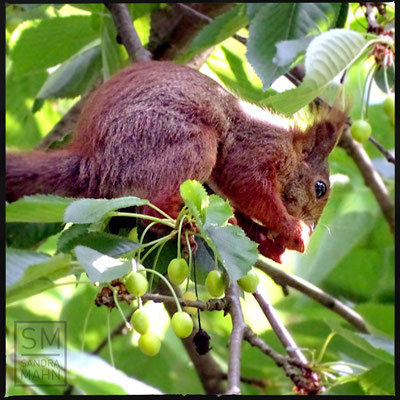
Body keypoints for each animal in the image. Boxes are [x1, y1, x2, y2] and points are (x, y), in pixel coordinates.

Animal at [5, 60, 346, 262]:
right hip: (184, 142)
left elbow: (239, 204)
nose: (313, 228)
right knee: (148, 211)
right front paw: (292, 229)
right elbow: (248, 185)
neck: (286, 146)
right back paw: (179, 226)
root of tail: (93, 160)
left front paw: (266, 241)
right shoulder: (253, 150)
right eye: (320, 188)